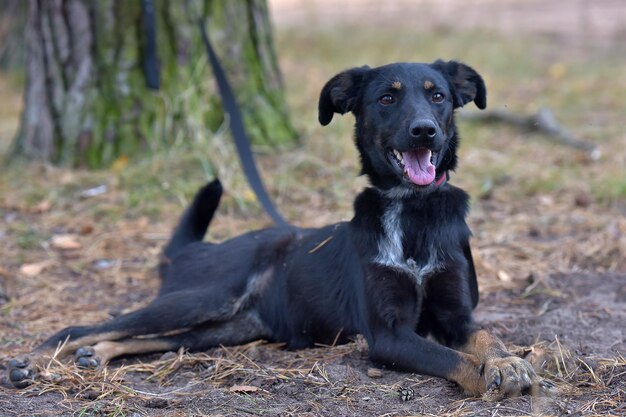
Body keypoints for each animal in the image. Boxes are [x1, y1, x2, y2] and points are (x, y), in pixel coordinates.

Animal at [8, 60, 544, 398]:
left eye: (438, 96)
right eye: (388, 97)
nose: (424, 132)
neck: (413, 213)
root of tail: (195, 250)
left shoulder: (455, 315)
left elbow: (485, 336)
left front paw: (506, 362)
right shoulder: (387, 334)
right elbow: (451, 359)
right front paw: (485, 375)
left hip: (222, 329)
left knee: (150, 340)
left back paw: (97, 355)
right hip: (203, 297)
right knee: (82, 326)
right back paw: (31, 360)